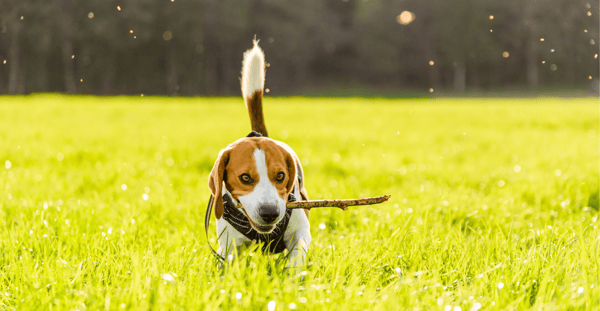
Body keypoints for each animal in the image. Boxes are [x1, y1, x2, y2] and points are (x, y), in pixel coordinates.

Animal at [205, 40, 312, 266]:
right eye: (245, 178)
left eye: (280, 176)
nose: (270, 213)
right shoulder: (229, 245)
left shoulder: (300, 231)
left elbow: (297, 255)